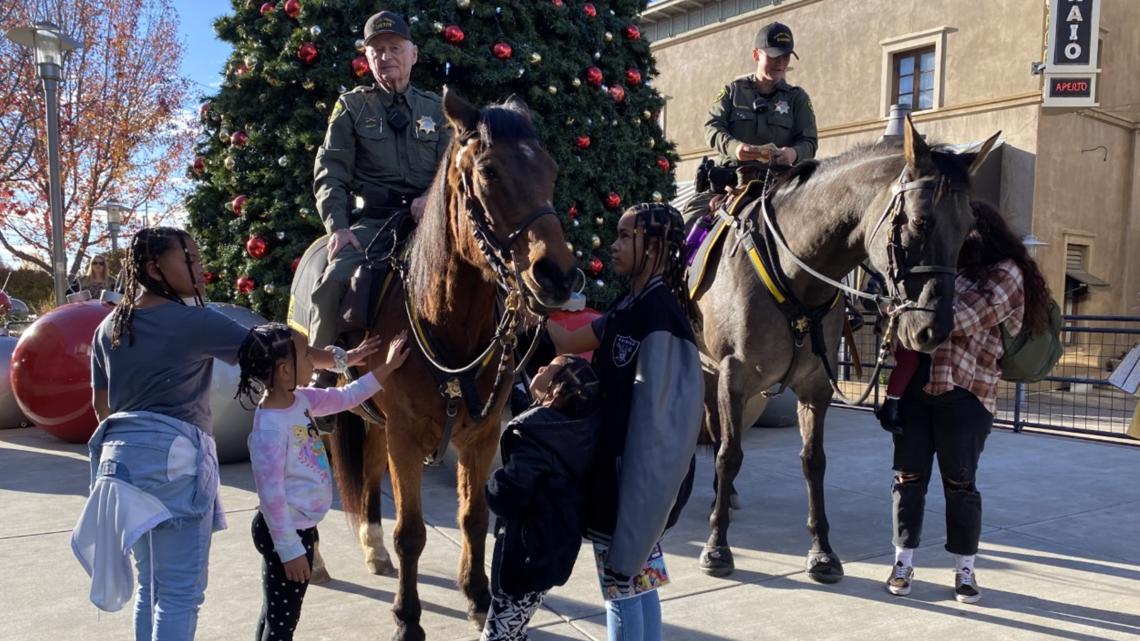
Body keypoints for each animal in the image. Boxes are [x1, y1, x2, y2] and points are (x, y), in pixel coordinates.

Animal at [323, 91, 570, 638]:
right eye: (489, 171)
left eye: (550, 168)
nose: (559, 275)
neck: (447, 322)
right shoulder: (404, 436)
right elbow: (412, 533)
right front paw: (407, 617)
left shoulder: (480, 436)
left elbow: (474, 519)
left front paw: (478, 596)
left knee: (370, 468)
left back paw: (373, 548)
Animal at [684, 118, 998, 579]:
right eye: (919, 222)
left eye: (966, 230)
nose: (933, 330)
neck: (793, 272)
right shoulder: (734, 376)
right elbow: (729, 454)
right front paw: (717, 546)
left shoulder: (815, 386)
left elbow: (813, 461)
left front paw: (822, 551)